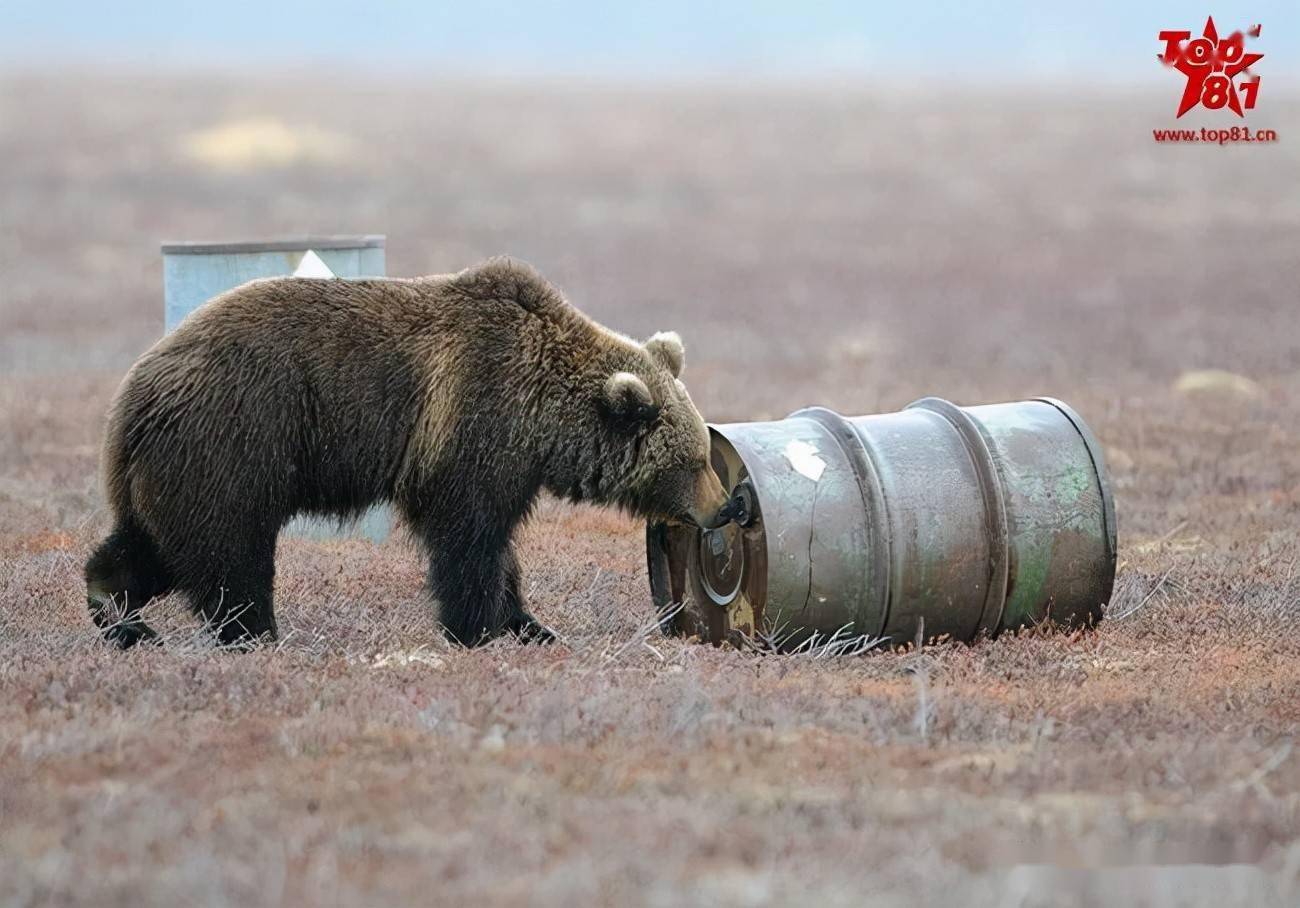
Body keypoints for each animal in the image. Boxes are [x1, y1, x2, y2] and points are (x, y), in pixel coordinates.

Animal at [86, 257, 733, 647]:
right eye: (694, 460)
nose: (725, 505)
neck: (544, 417)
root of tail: (132, 396)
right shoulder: (472, 422)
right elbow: (468, 541)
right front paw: (478, 628)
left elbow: (498, 547)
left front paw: (531, 626)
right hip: (235, 439)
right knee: (230, 553)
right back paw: (257, 632)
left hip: (177, 466)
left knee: (157, 545)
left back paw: (119, 615)